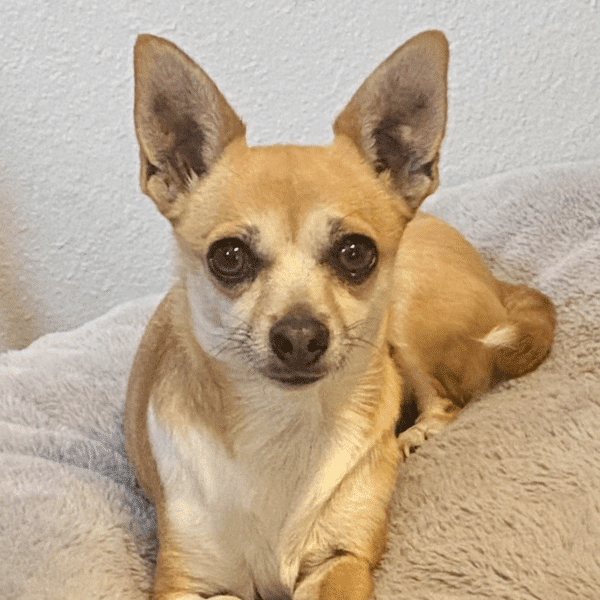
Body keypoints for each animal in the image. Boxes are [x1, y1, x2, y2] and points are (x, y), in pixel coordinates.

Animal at [126, 31, 556, 600]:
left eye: (356, 253)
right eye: (228, 257)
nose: (300, 336)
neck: (281, 427)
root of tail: (494, 277)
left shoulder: (342, 558)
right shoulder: (183, 583)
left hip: (405, 317)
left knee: (446, 400)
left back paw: (412, 436)